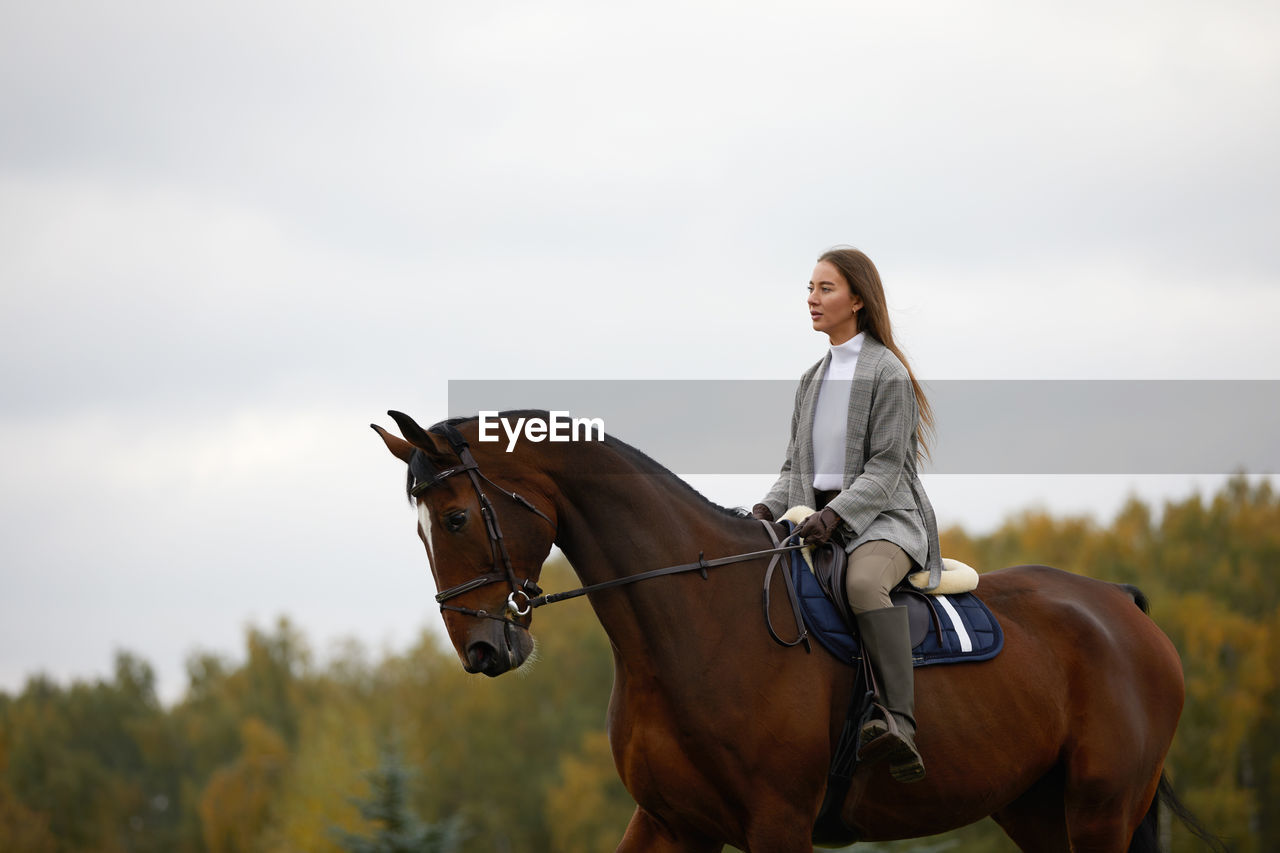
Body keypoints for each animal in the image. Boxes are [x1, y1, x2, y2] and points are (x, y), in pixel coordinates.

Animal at [371, 409, 1198, 845]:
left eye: (455, 517)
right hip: (1039, 808)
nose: (482, 648)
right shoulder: (668, 820)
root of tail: (1119, 604)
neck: (692, 619)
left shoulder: (777, 822)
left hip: (1102, 807)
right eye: (420, 529)